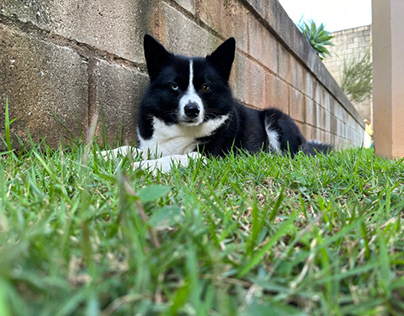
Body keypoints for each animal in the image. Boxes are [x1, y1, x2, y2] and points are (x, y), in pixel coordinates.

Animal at [98, 35, 332, 173]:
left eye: (206, 87)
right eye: (174, 86)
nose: (192, 110)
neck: (181, 129)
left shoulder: (210, 156)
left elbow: (176, 158)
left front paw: (140, 166)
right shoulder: (151, 145)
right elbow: (129, 148)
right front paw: (103, 155)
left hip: (277, 120)